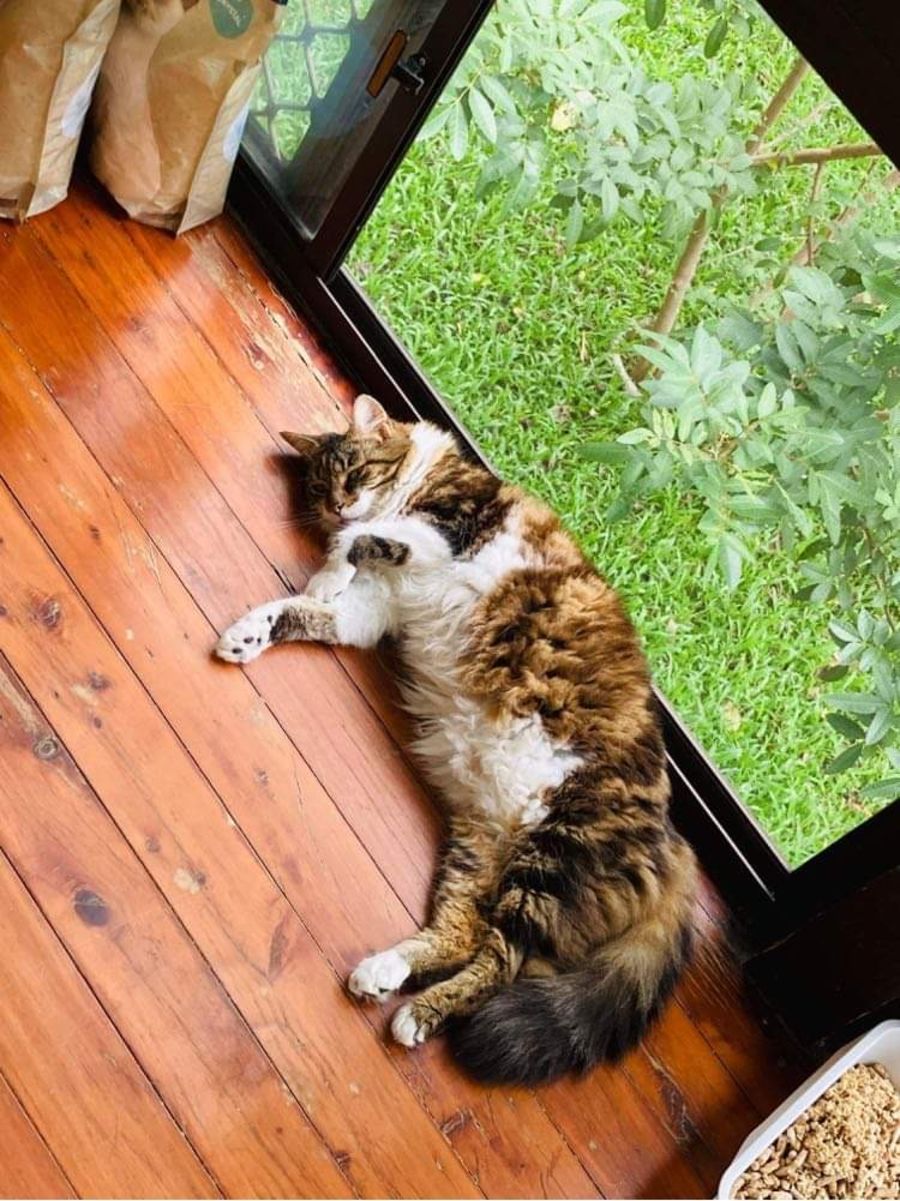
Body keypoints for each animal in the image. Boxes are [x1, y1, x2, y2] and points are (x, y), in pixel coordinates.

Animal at [216, 394, 698, 1085]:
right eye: (321, 487)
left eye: (355, 473)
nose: (339, 503)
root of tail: (673, 840)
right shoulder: (372, 613)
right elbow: (298, 609)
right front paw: (251, 633)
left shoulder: (447, 532)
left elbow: (361, 545)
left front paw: (329, 567)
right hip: (482, 851)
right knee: (463, 935)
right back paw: (383, 973)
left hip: (549, 859)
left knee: (500, 965)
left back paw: (417, 1015)